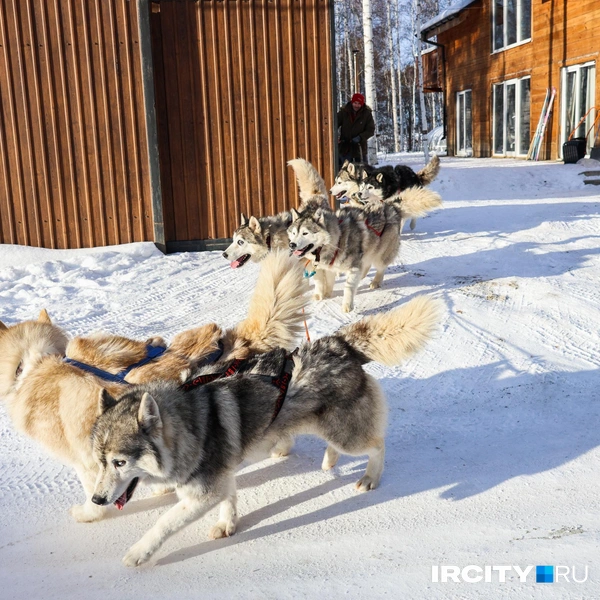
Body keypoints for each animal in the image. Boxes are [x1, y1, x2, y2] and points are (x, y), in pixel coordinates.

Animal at [91, 296, 442, 568]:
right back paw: (330, 461)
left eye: (120, 462)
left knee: (377, 444)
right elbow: (230, 500)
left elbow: (163, 523)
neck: (187, 424)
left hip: (346, 434)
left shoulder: (203, 493)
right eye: (100, 462)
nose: (96, 499)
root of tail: (338, 343)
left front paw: (139, 552)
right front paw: (228, 524)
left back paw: (370, 477)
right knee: (338, 444)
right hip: (328, 426)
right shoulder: (223, 477)